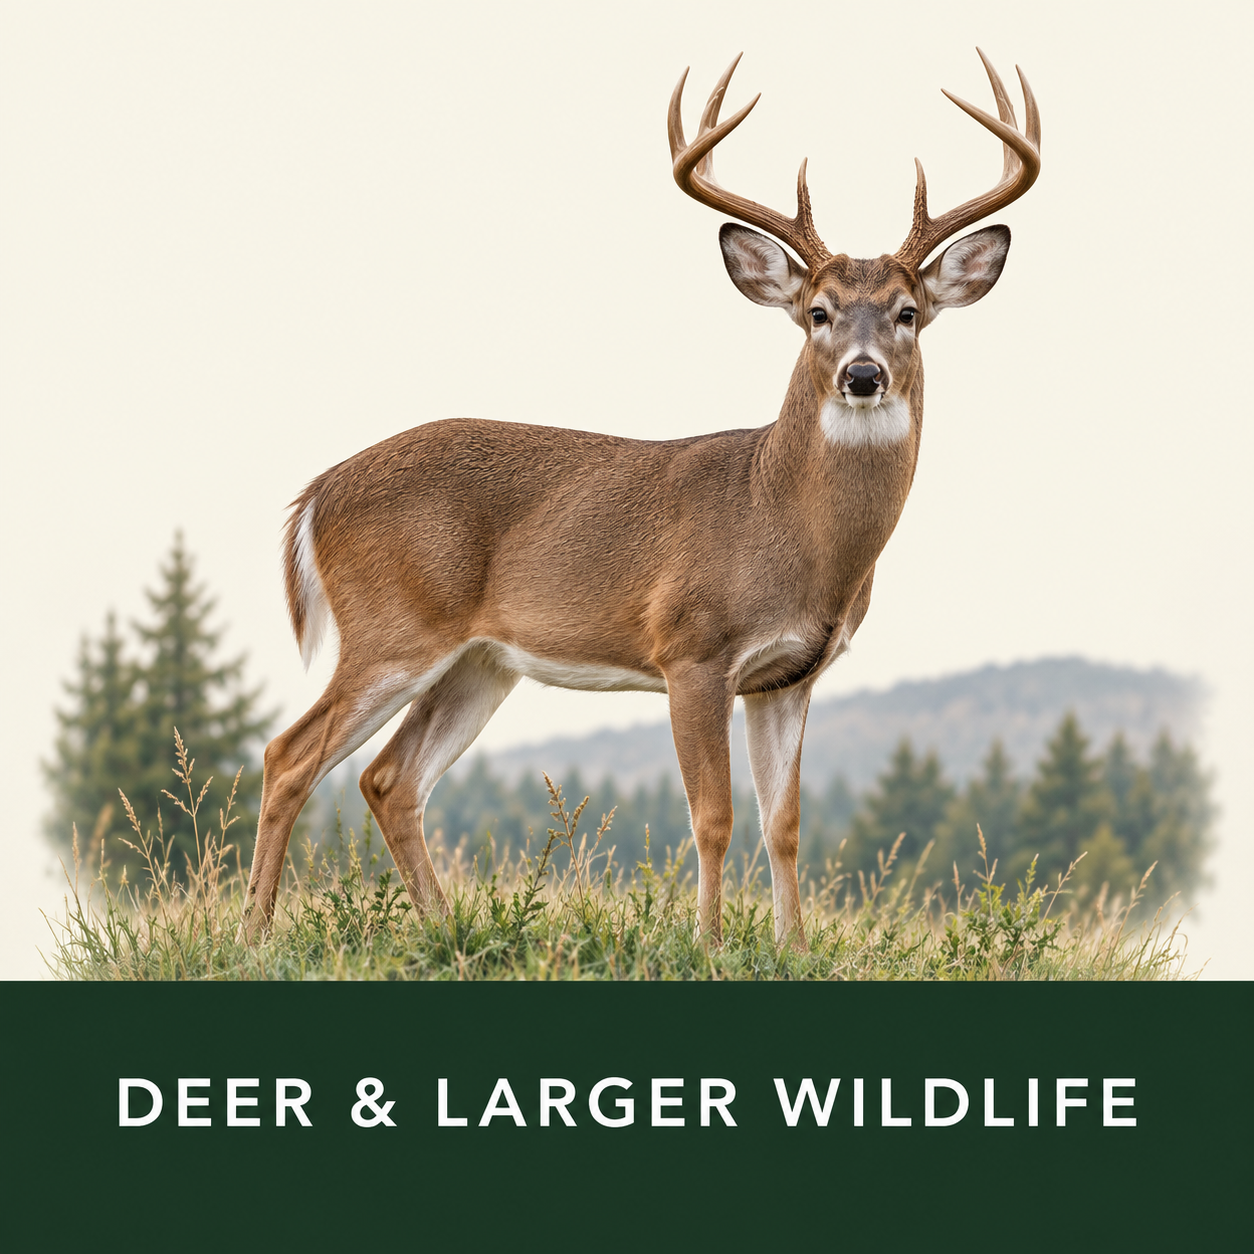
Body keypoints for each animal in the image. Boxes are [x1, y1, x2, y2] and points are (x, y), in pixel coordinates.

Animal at [241, 49, 1040, 947]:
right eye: (817, 312)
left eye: (908, 312)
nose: (861, 373)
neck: (788, 528)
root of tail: (316, 493)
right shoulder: (691, 647)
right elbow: (713, 816)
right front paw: (710, 944)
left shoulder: (790, 675)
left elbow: (784, 823)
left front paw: (792, 948)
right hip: (394, 626)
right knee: (289, 755)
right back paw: (253, 932)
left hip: (479, 661)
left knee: (390, 778)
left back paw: (447, 930)